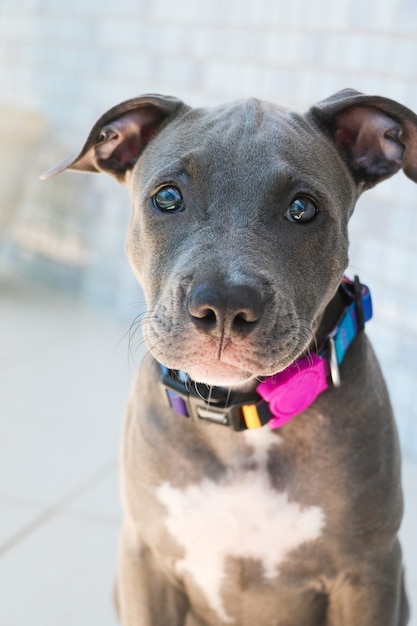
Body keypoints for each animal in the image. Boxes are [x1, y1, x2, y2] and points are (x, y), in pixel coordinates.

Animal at [42, 89, 412, 624]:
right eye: (167, 198)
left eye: (302, 208)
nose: (224, 304)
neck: (240, 419)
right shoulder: (146, 558)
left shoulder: (368, 575)